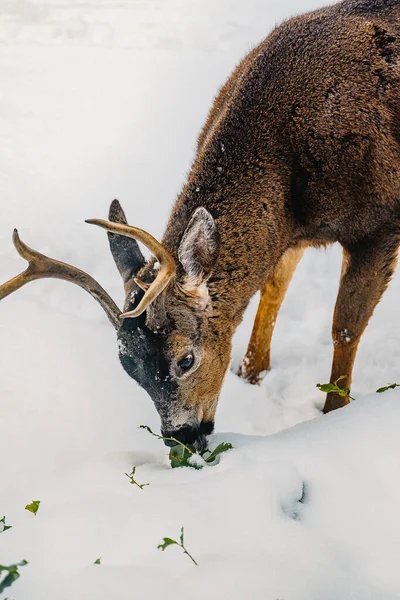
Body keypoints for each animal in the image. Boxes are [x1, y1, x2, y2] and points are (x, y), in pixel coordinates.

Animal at [0, 0, 400, 450]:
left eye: (186, 359)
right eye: (128, 369)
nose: (182, 437)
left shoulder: (379, 223)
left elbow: (345, 327)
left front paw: (335, 415)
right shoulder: (288, 234)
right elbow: (273, 291)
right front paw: (251, 376)